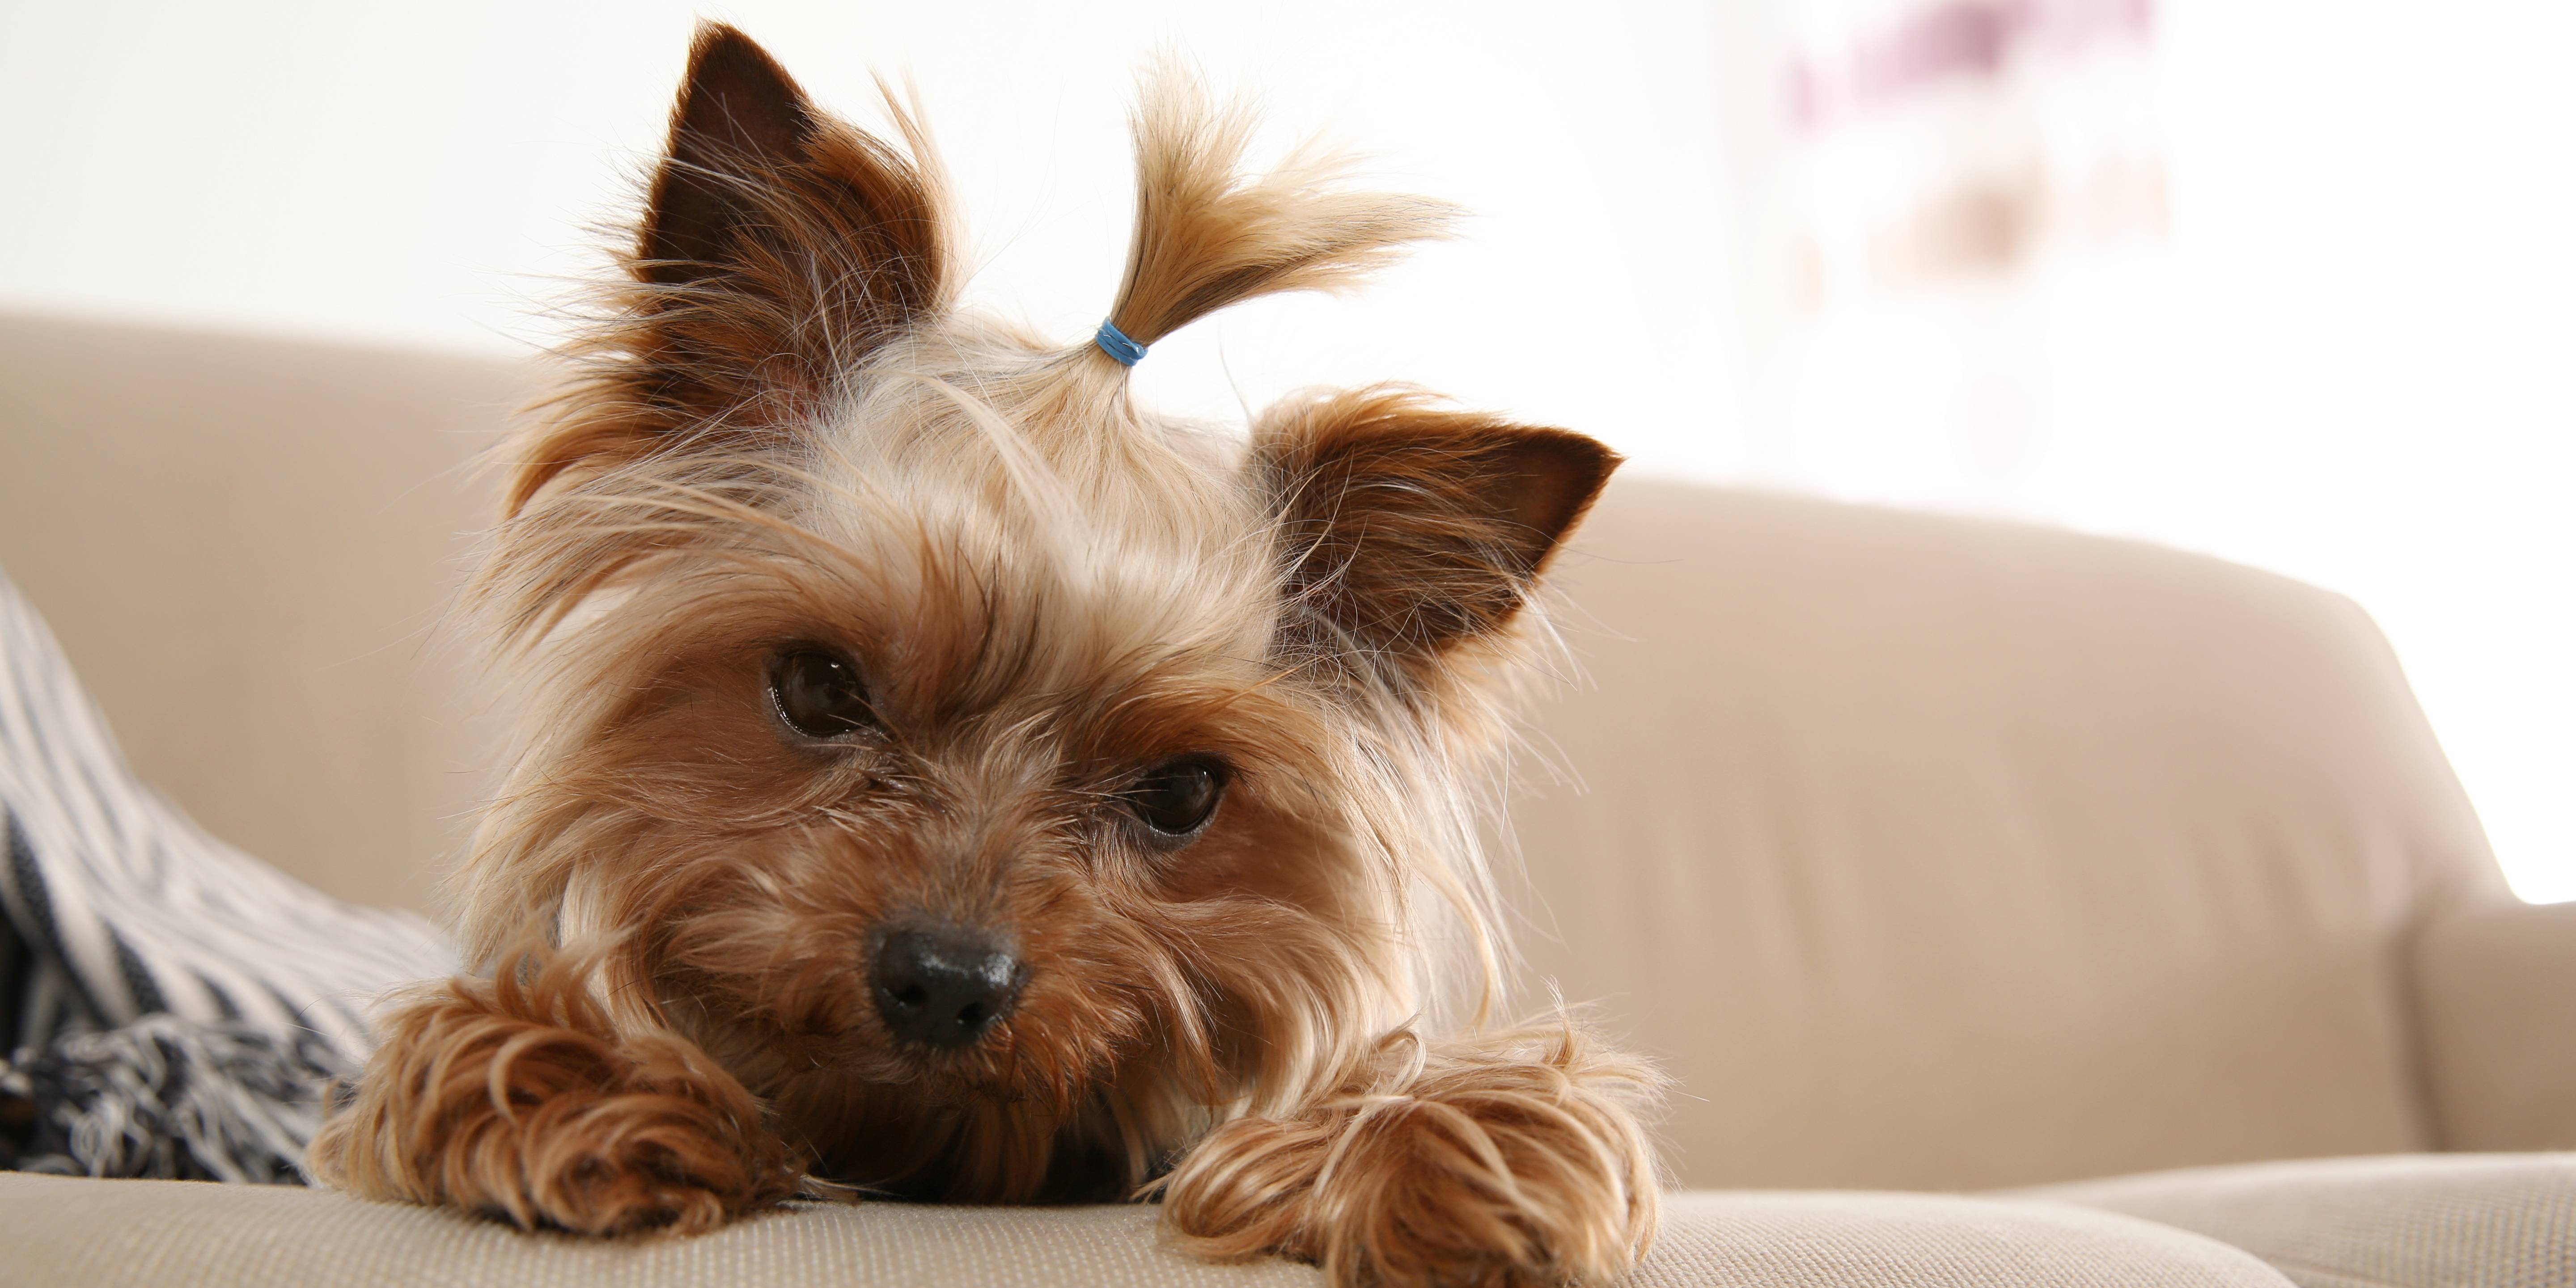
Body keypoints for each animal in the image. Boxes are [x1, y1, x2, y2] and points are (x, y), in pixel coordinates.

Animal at [306, 22, 1669, 1288]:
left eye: (1182, 791)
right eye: (818, 686)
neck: (915, 1146)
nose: (946, 980)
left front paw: (1456, 1149)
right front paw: (586, 1081)